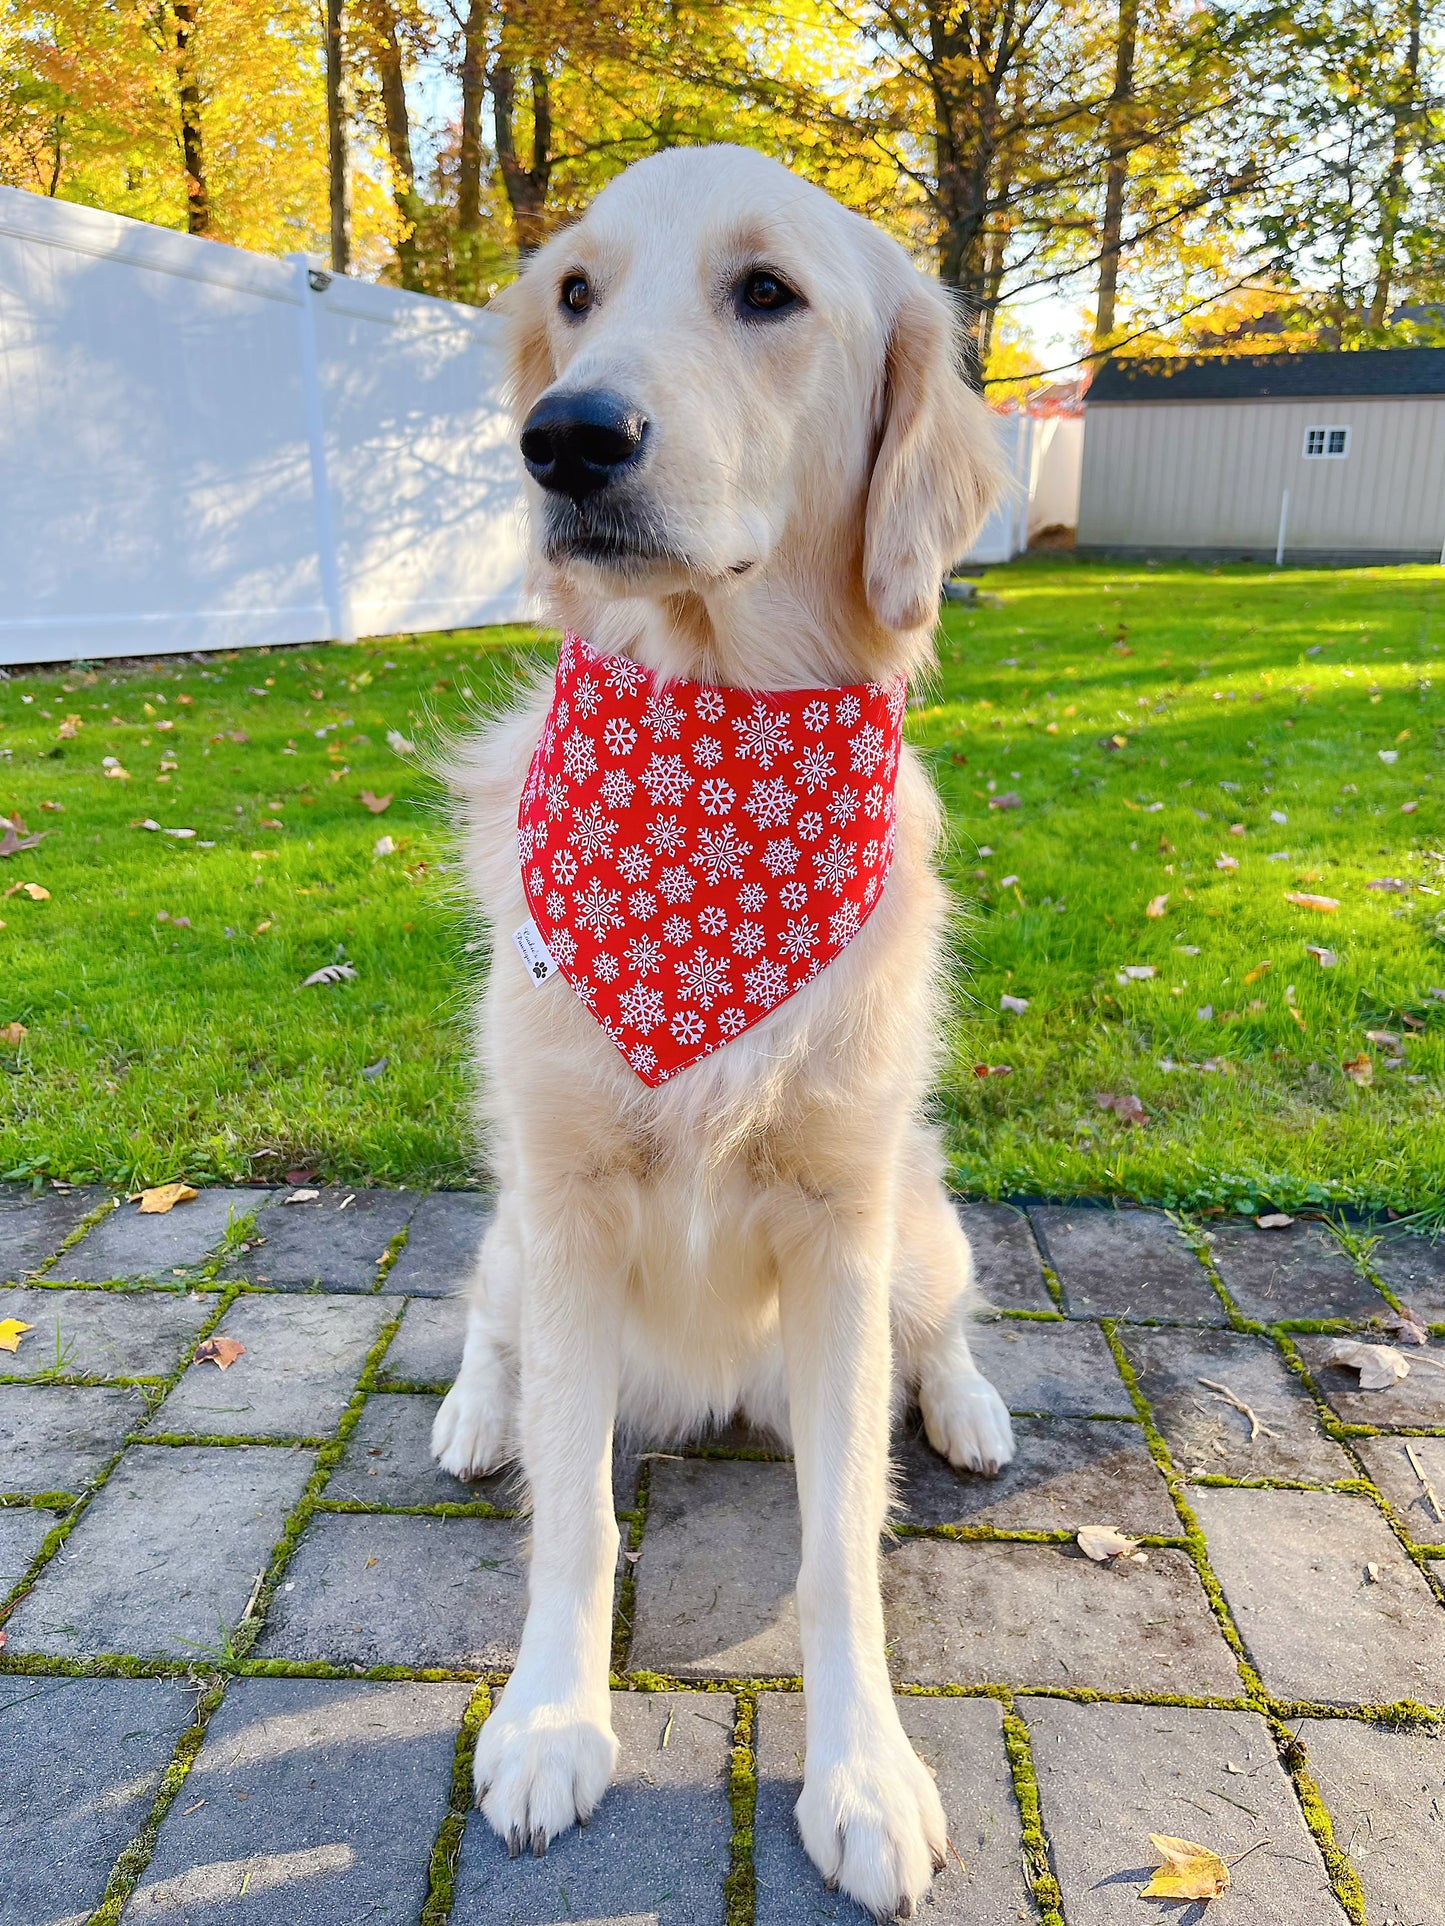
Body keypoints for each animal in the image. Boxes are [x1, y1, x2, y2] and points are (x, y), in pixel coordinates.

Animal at [435, 142, 1009, 1918]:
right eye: (573, 293)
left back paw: (970, 1406)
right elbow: (572, 1519)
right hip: (508, 1224)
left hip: (921, 1219)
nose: (567, 438)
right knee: (482, 1324)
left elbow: (841, 1552)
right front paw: (553, 1720)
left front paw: (865, 1772)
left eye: (769, 293)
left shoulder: (839, 1223)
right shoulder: (560, 1200)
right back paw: (474, 1411)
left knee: (939, 1331)